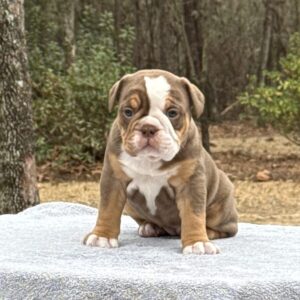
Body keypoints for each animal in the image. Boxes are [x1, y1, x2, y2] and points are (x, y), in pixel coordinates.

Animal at [83, 69, 238, 254]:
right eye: (128, 111)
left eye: (172, 113)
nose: (148, 128)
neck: (150, 160)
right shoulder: (113, 178)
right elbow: (108, 208)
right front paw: (102, 236)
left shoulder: (191, 183)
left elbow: (193, 214)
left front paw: (197, 242)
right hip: (130, 206)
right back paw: (150, 227)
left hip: (222, 204)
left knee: (225, 229)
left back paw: (206, 232)